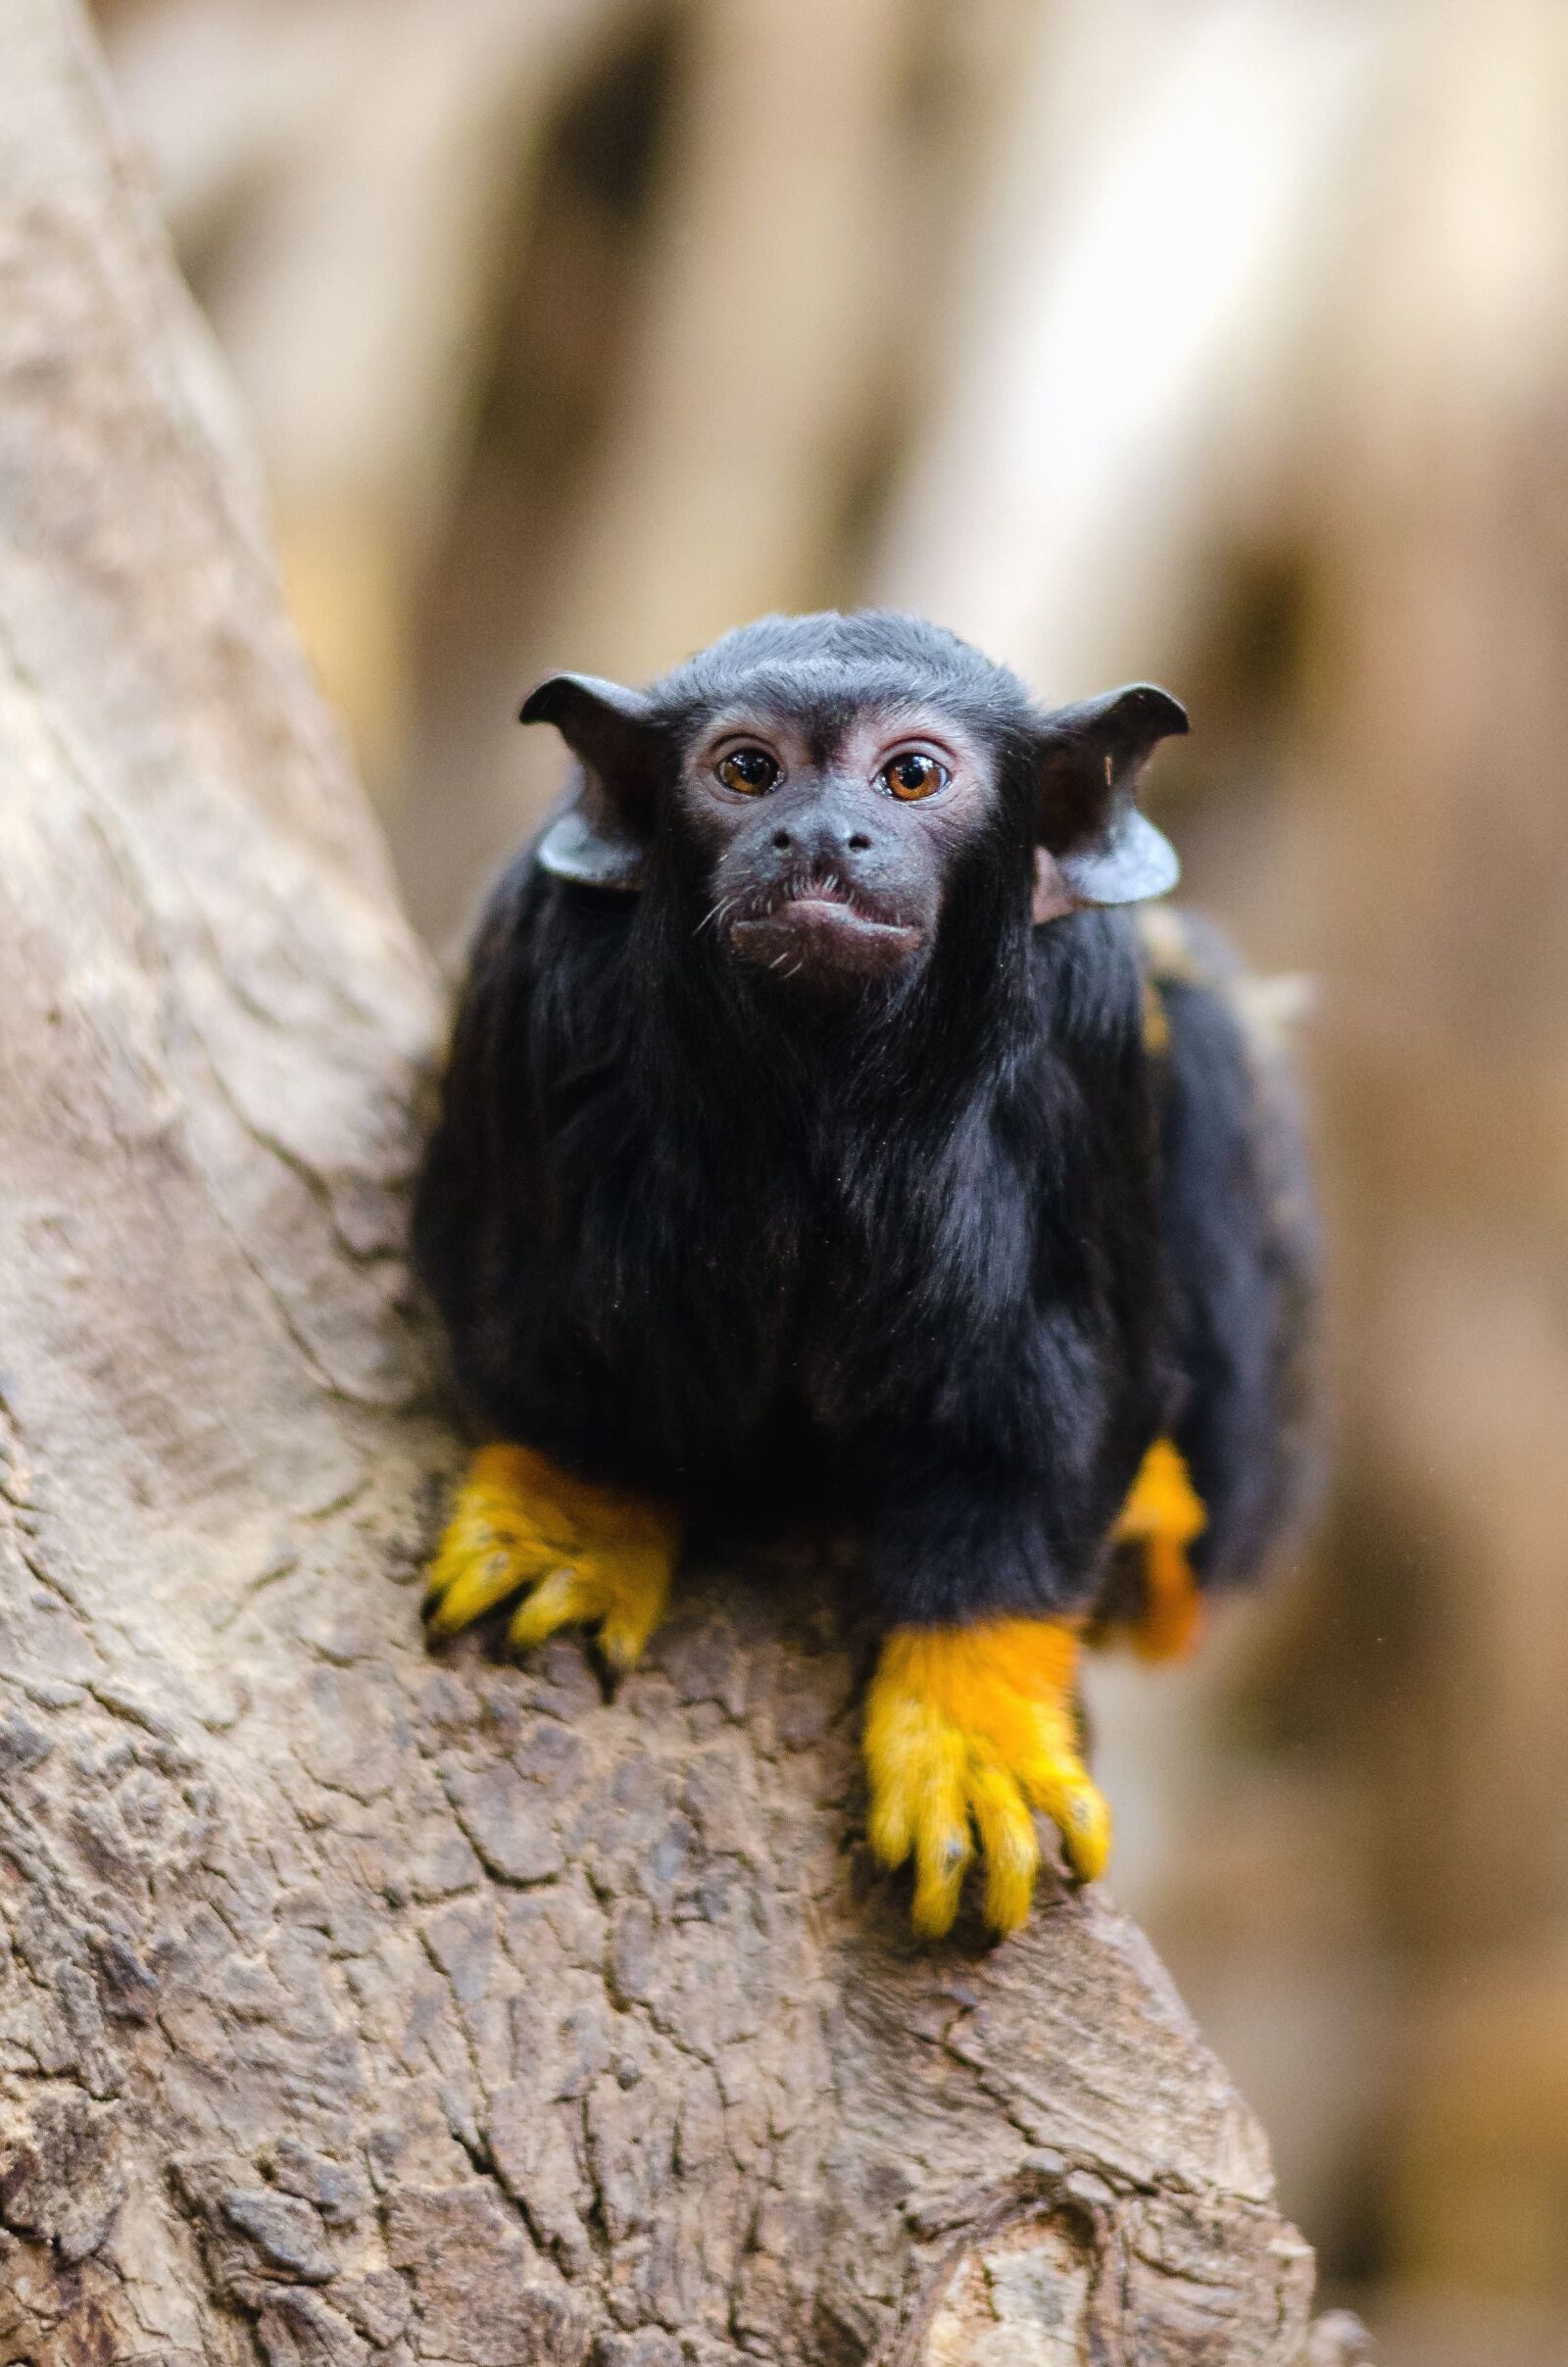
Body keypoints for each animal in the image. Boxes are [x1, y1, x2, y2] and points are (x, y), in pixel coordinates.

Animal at [413, 609, 1318, 1939]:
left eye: (912, 777)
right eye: (748, 771)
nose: (821, 836)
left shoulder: (1084, 1029)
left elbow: (1058, 1403)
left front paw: (972, 1711)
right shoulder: (537, 980)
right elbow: (547, 1311)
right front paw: (573, 1512)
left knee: (1201, 1019)